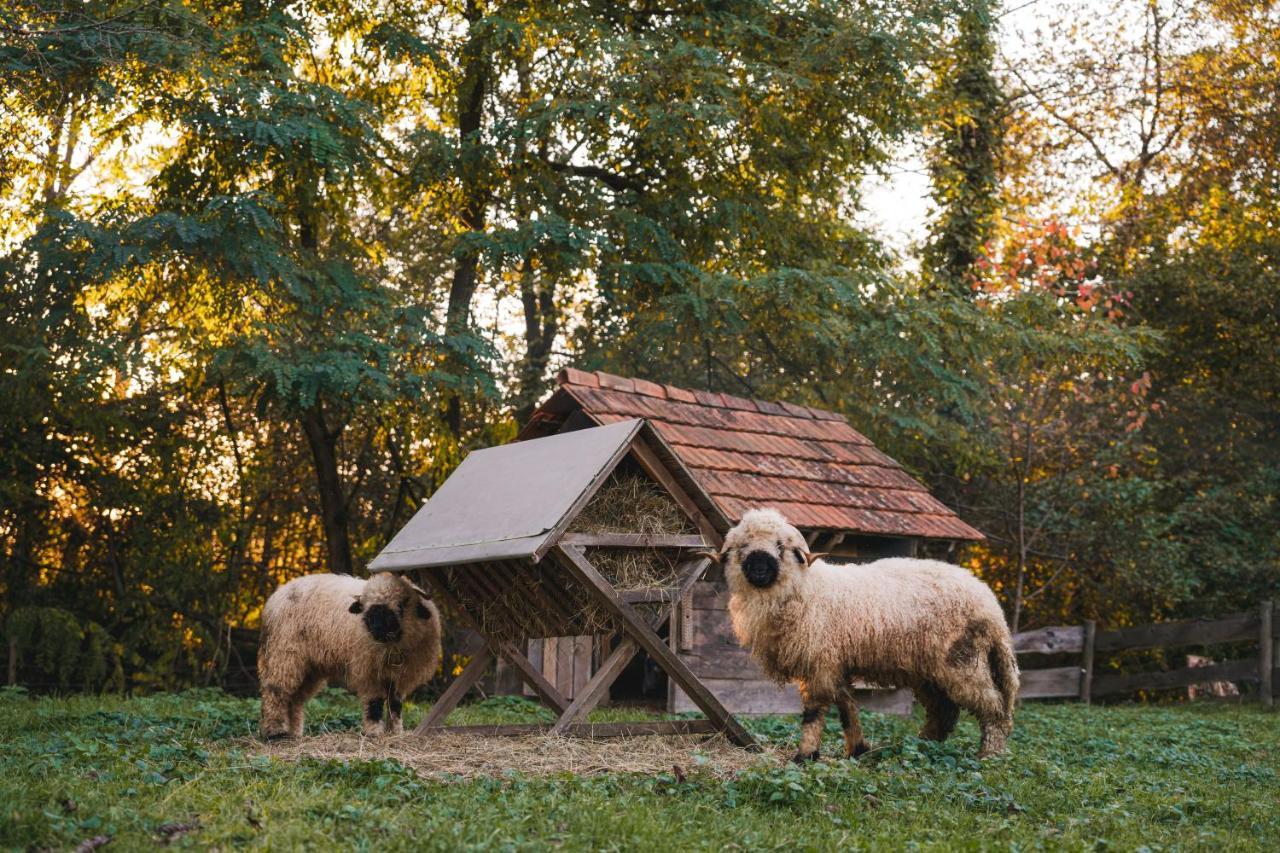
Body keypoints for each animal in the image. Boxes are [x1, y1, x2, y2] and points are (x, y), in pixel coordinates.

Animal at [257, 571, 442, 737]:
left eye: (402, 604)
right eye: (365, 605)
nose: (375, 628)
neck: (392, 647)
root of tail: (276, 595)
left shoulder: (398, 675)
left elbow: (395, 704)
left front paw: (395, 731)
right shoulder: (369, 670)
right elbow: (374, 702)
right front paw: (374, 731)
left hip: (309, 667)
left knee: (294, 699)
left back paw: (294, 733)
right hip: (284, 654)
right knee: (275, 691)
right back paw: (275, 732)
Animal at [716, 507, 1013, 753]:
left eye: (781, 546)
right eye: (743, 545)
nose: (758, 567)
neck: (805, 589)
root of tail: (990, 603)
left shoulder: (820, 661)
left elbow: (815, 711)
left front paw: (805, 755)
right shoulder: (835, 664)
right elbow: (848, 708)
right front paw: (857, 750)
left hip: (962, 662)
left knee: (993, 708)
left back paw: (989, 754)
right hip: (928, 670)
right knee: (944, 712)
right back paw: (921, 747)